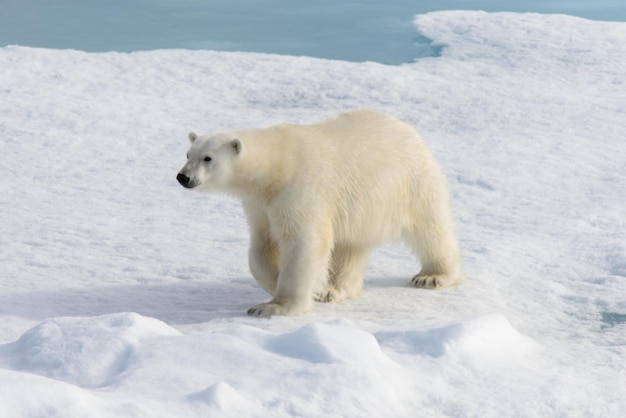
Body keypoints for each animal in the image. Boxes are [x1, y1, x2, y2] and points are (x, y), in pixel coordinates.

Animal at [176, 108, 458, 316]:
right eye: (188, 154)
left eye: (208, 158)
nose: (183, 177)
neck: (276, 168)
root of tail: (409, 131)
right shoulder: (260, 203)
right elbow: (262, 246)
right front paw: (300, 286)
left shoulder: (300, 189)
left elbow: (304, 242)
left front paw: (274, 306)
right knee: (349, 247)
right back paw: (333, 289)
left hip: (411, 184)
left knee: (430, 229)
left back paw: (433, 276)